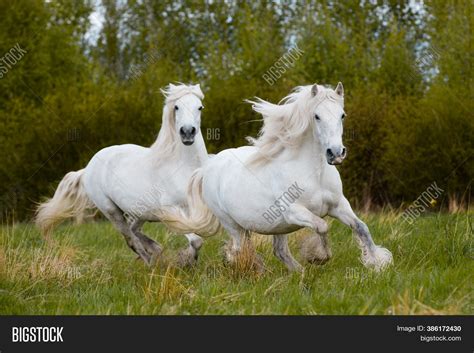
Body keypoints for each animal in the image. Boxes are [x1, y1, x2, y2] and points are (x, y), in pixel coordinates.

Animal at [37, 82, 207, 264]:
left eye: (200, 107)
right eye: (176, 107)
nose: (187, 132)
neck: (183, 167)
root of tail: (88, 168)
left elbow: (198, 238)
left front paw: (190, 261)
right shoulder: (171, 211)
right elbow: (196, 239)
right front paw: (186, 260)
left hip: (141, 212)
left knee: (134, 231)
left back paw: (156, 250)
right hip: (112, 212)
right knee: (131, 239)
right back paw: (151, 262)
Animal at [159, 81, 392, 270]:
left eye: (342, 115)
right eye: (317, 116)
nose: (335, 153)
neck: (314, 174)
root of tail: (208, 167)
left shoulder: (338, 205)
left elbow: (361, 227)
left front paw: (378, 262)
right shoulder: (293, 212)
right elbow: (322, 226)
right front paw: (319, 256)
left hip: (276, 226)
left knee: (279, 251)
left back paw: (297, 273)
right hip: (232, 224)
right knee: (239, 250)